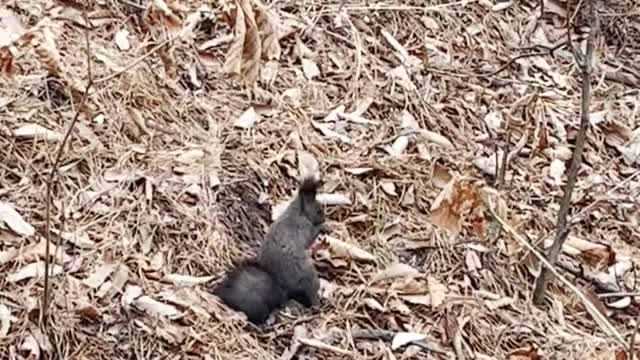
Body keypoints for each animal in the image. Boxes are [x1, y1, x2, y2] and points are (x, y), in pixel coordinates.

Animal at [215, 176, 324, 324]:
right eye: (318, 209)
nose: (324, 218)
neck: (296, 213)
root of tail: (282, 286)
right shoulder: (303, 227)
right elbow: (311, 237)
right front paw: (323, 229)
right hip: (308, 277)